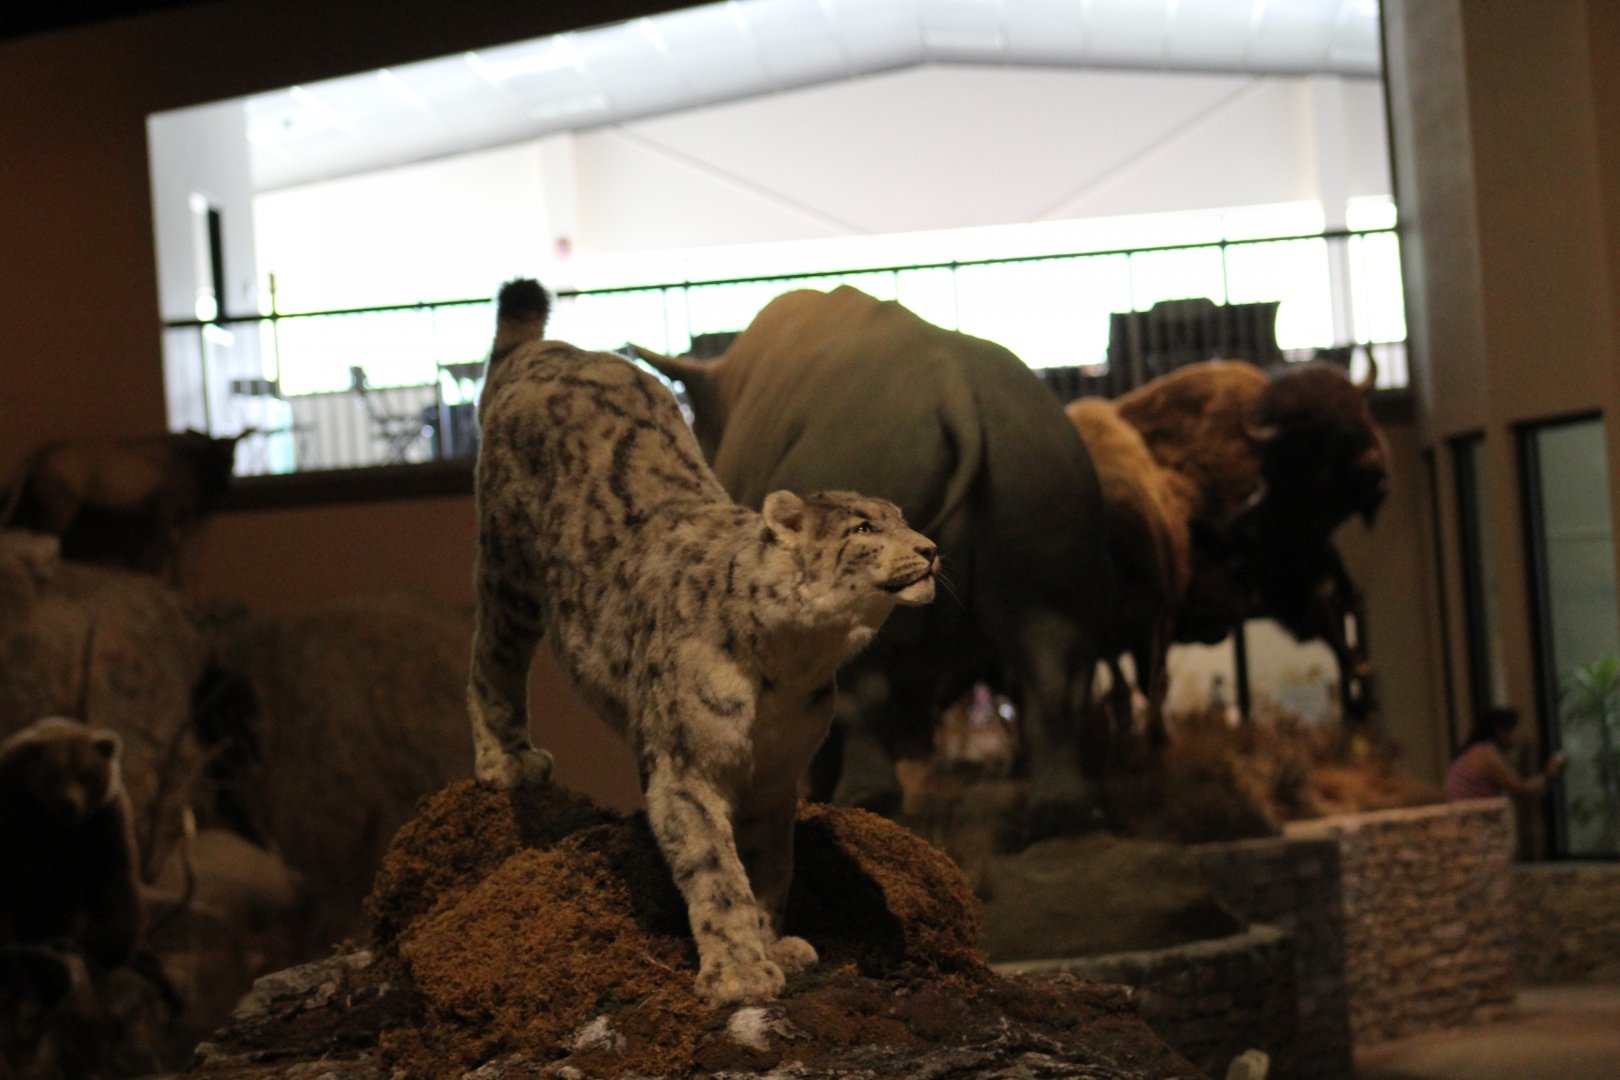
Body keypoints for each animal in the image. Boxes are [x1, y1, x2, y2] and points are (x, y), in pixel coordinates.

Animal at [468, 279, 939, 1006]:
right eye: (863, 528)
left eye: (903, 517)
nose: (932, 549)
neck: (795, 668)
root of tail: (549, 350)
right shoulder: (686, 765)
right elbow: (717, 870)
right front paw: (741, 972)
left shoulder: (777, 773)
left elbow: (769, 864)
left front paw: (777, 944)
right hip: (508, 569)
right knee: (490, 656)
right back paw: (507, 760)